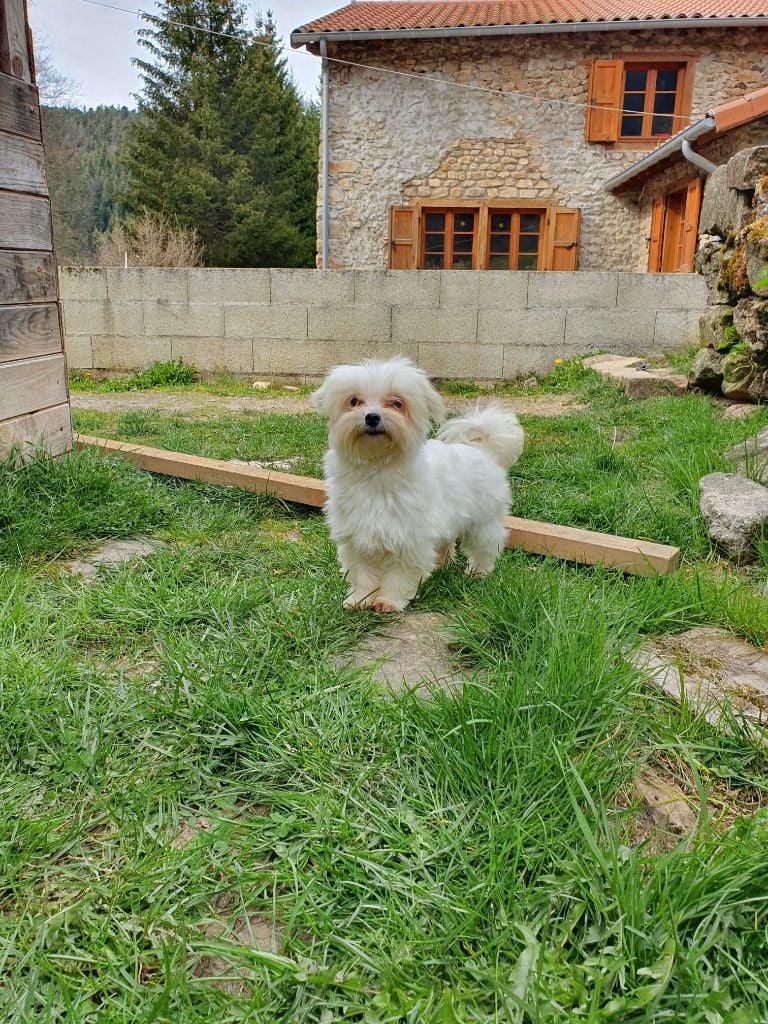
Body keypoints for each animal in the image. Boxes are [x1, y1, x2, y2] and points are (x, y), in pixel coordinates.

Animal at [309, 356, 528, 610]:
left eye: (397, 403)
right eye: (354, 401)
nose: (371, 416)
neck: (377, 467)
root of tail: (482, 450)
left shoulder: (409, 539)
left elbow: (400, 574)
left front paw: (389, 601)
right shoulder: (357, 536)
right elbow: (363, 574)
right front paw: (360, 599)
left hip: (483, 522)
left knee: (486, 546)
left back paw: (478, 573)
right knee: (446, 543)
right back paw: (442, 566)